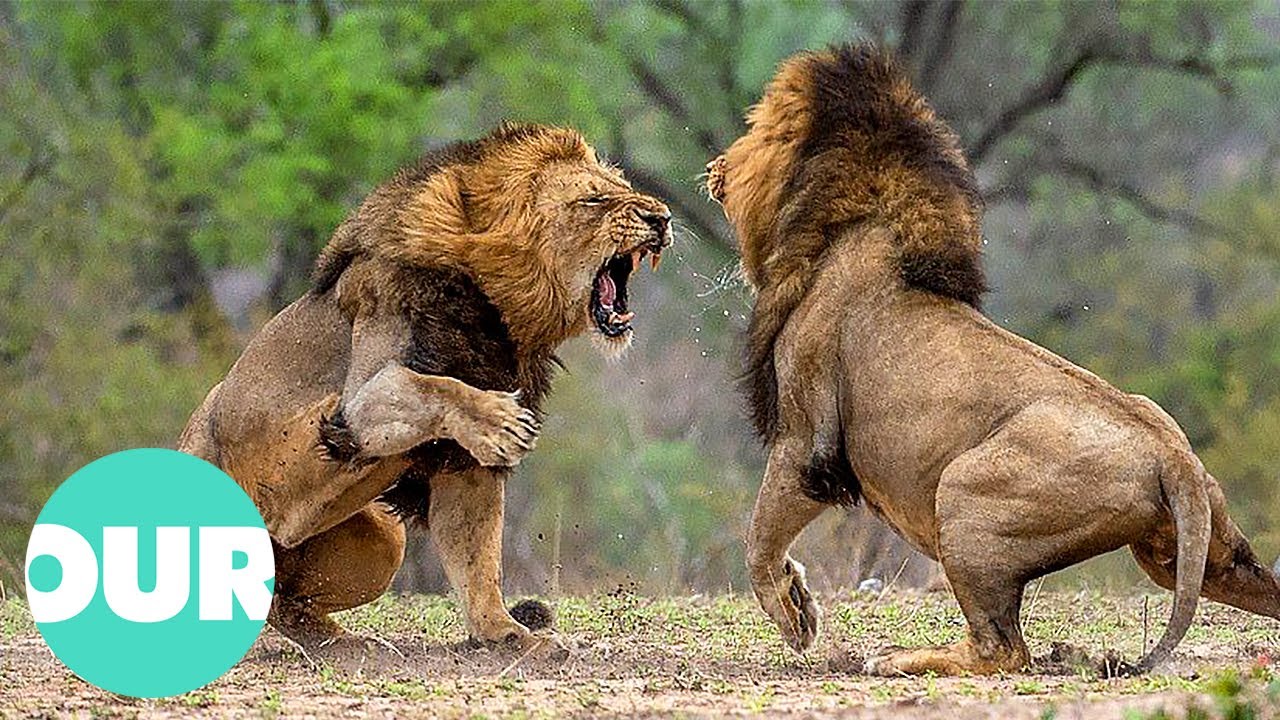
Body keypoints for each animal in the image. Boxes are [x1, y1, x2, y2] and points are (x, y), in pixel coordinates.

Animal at [178, 123, 672, 658]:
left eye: (621, 188)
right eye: (594, 199)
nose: (662, 217)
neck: (501, 312)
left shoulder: (463, 467)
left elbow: (477, 562)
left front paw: (512, 638)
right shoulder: (357, 402)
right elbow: (432, 386)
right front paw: (500, 421)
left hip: (384, 537)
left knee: (284, 602)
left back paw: (349, 646)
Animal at [706, 45, 1279, 676]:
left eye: (755, 127)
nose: (714, 167)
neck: (853, 227)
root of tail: (1173, 456)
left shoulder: (807, 443)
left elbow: (759, 542)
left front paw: (796, 619)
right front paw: (800, 600)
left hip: (961, 494)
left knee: (1003, 650)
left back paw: (898, 658)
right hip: (1192, 553)